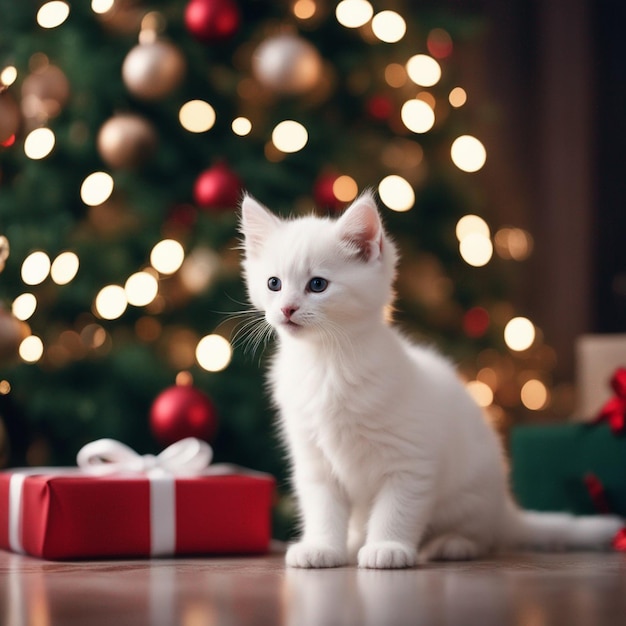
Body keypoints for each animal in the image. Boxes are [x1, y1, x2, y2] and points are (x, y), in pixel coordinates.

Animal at [238, 190, 620, 564]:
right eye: (273, 284)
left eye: (317, 285)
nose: (286, 309)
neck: (326, 362)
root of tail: (504, 508)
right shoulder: (314, 461)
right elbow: (323, 510)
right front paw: (323, 547)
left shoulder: (411, 461)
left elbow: (396, 509)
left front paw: (387, 547)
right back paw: (354, 542)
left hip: (471, 493)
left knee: (483, 536)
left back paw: (453, 544)